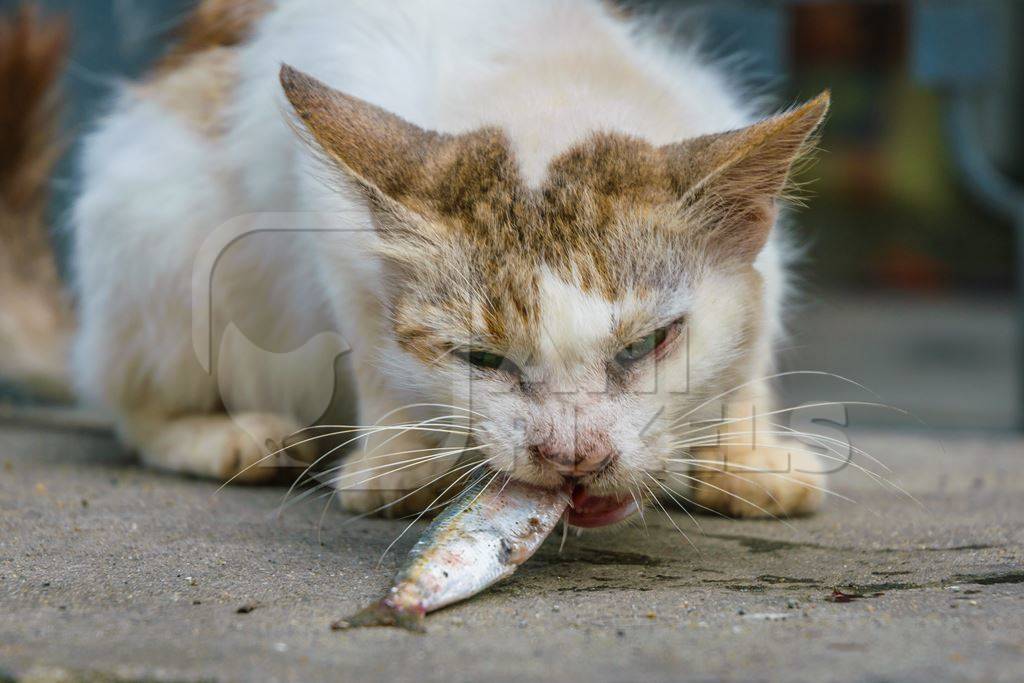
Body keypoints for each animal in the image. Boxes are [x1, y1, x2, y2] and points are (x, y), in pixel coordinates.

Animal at [0, 0, 827, 528]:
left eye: (647, 344)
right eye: (482, 358)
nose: (572, 456)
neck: (543, 86)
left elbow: (756, 332)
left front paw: (749, 450)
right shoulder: (327, 227)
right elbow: (366, 338)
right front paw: (398, 460)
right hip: (154, 227)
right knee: (127, 400)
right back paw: (228, 435)